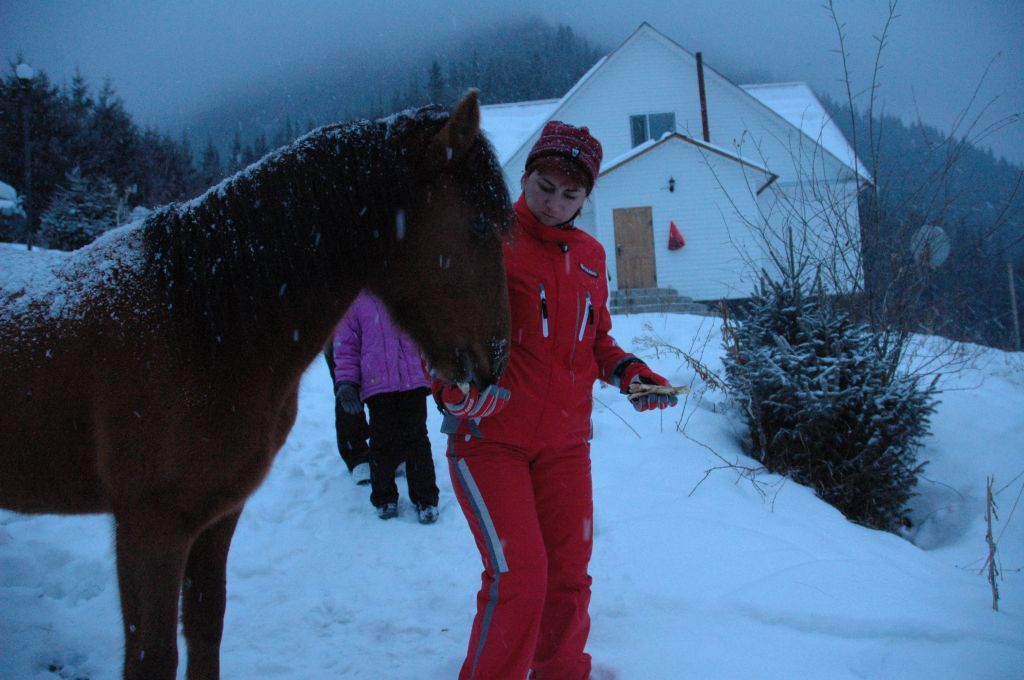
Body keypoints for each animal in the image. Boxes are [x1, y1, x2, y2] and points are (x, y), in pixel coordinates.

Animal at [0, 90, 511, 680]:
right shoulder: (148, 528)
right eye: (479, 224)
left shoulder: (216, 516)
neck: (199, 322)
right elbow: (153, 655)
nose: (497, 359)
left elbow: (206, 627)